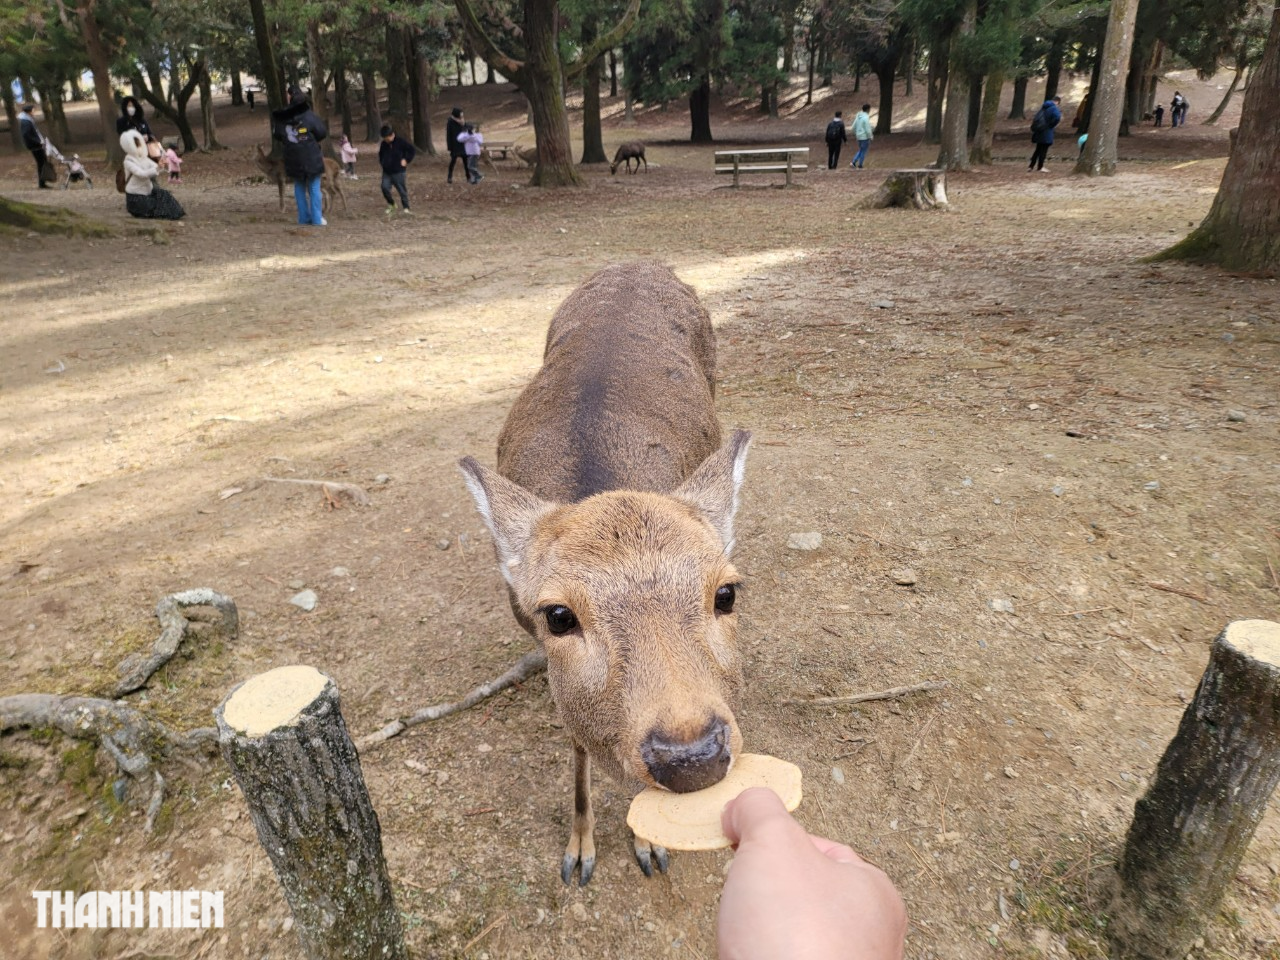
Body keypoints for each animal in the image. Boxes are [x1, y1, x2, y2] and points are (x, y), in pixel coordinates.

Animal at [460, 261, 747, 885]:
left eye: (727, 593)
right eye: (557, 615)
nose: (691, 757)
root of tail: (645, 263)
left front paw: (648, 846)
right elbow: (577, 751)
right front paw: (579, 853)